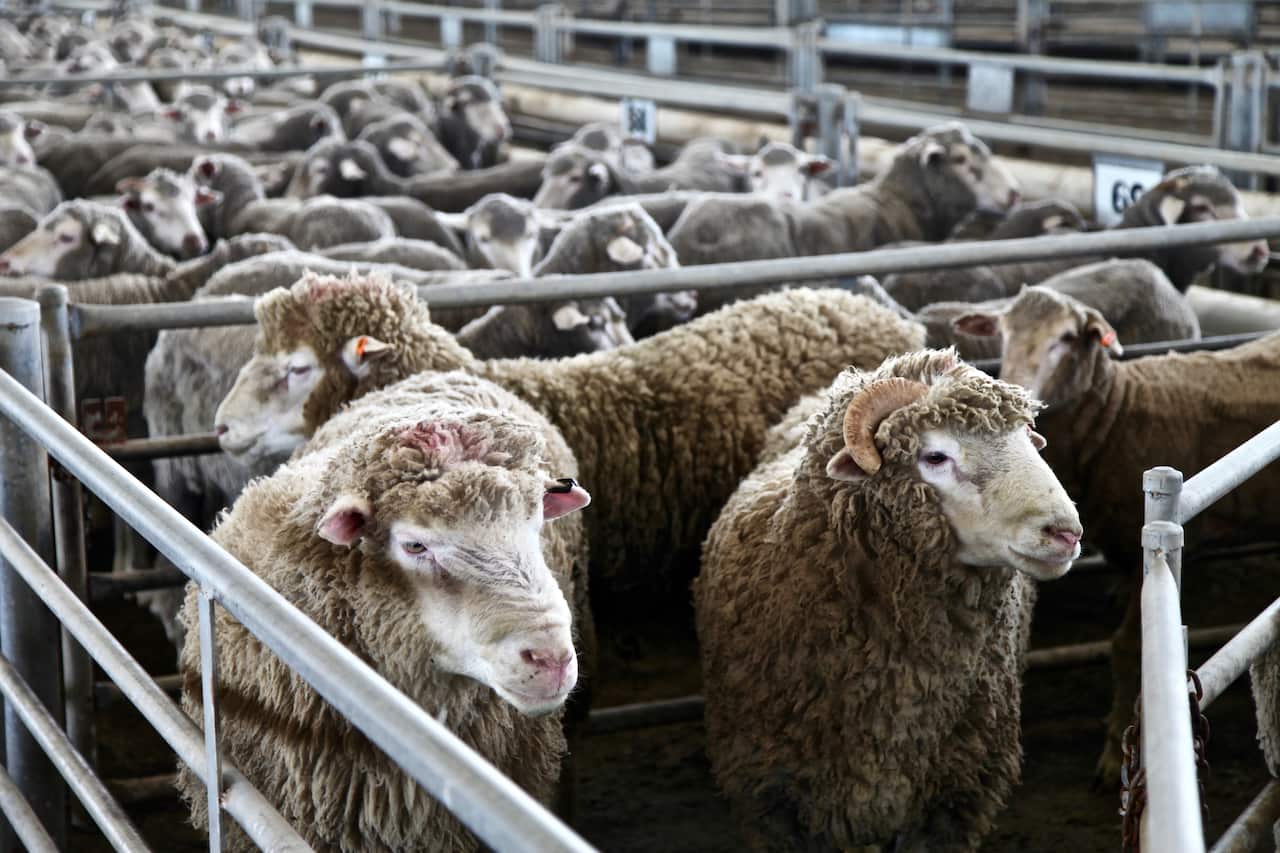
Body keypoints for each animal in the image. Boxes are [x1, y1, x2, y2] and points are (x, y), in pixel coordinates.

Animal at [971, 288, 1280, 786]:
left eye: (1066, 338)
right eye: (1003, 333)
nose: (1017, 392)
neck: (1116, 414)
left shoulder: (1145, 560)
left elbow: (1127, 648)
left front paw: (1118, 744)